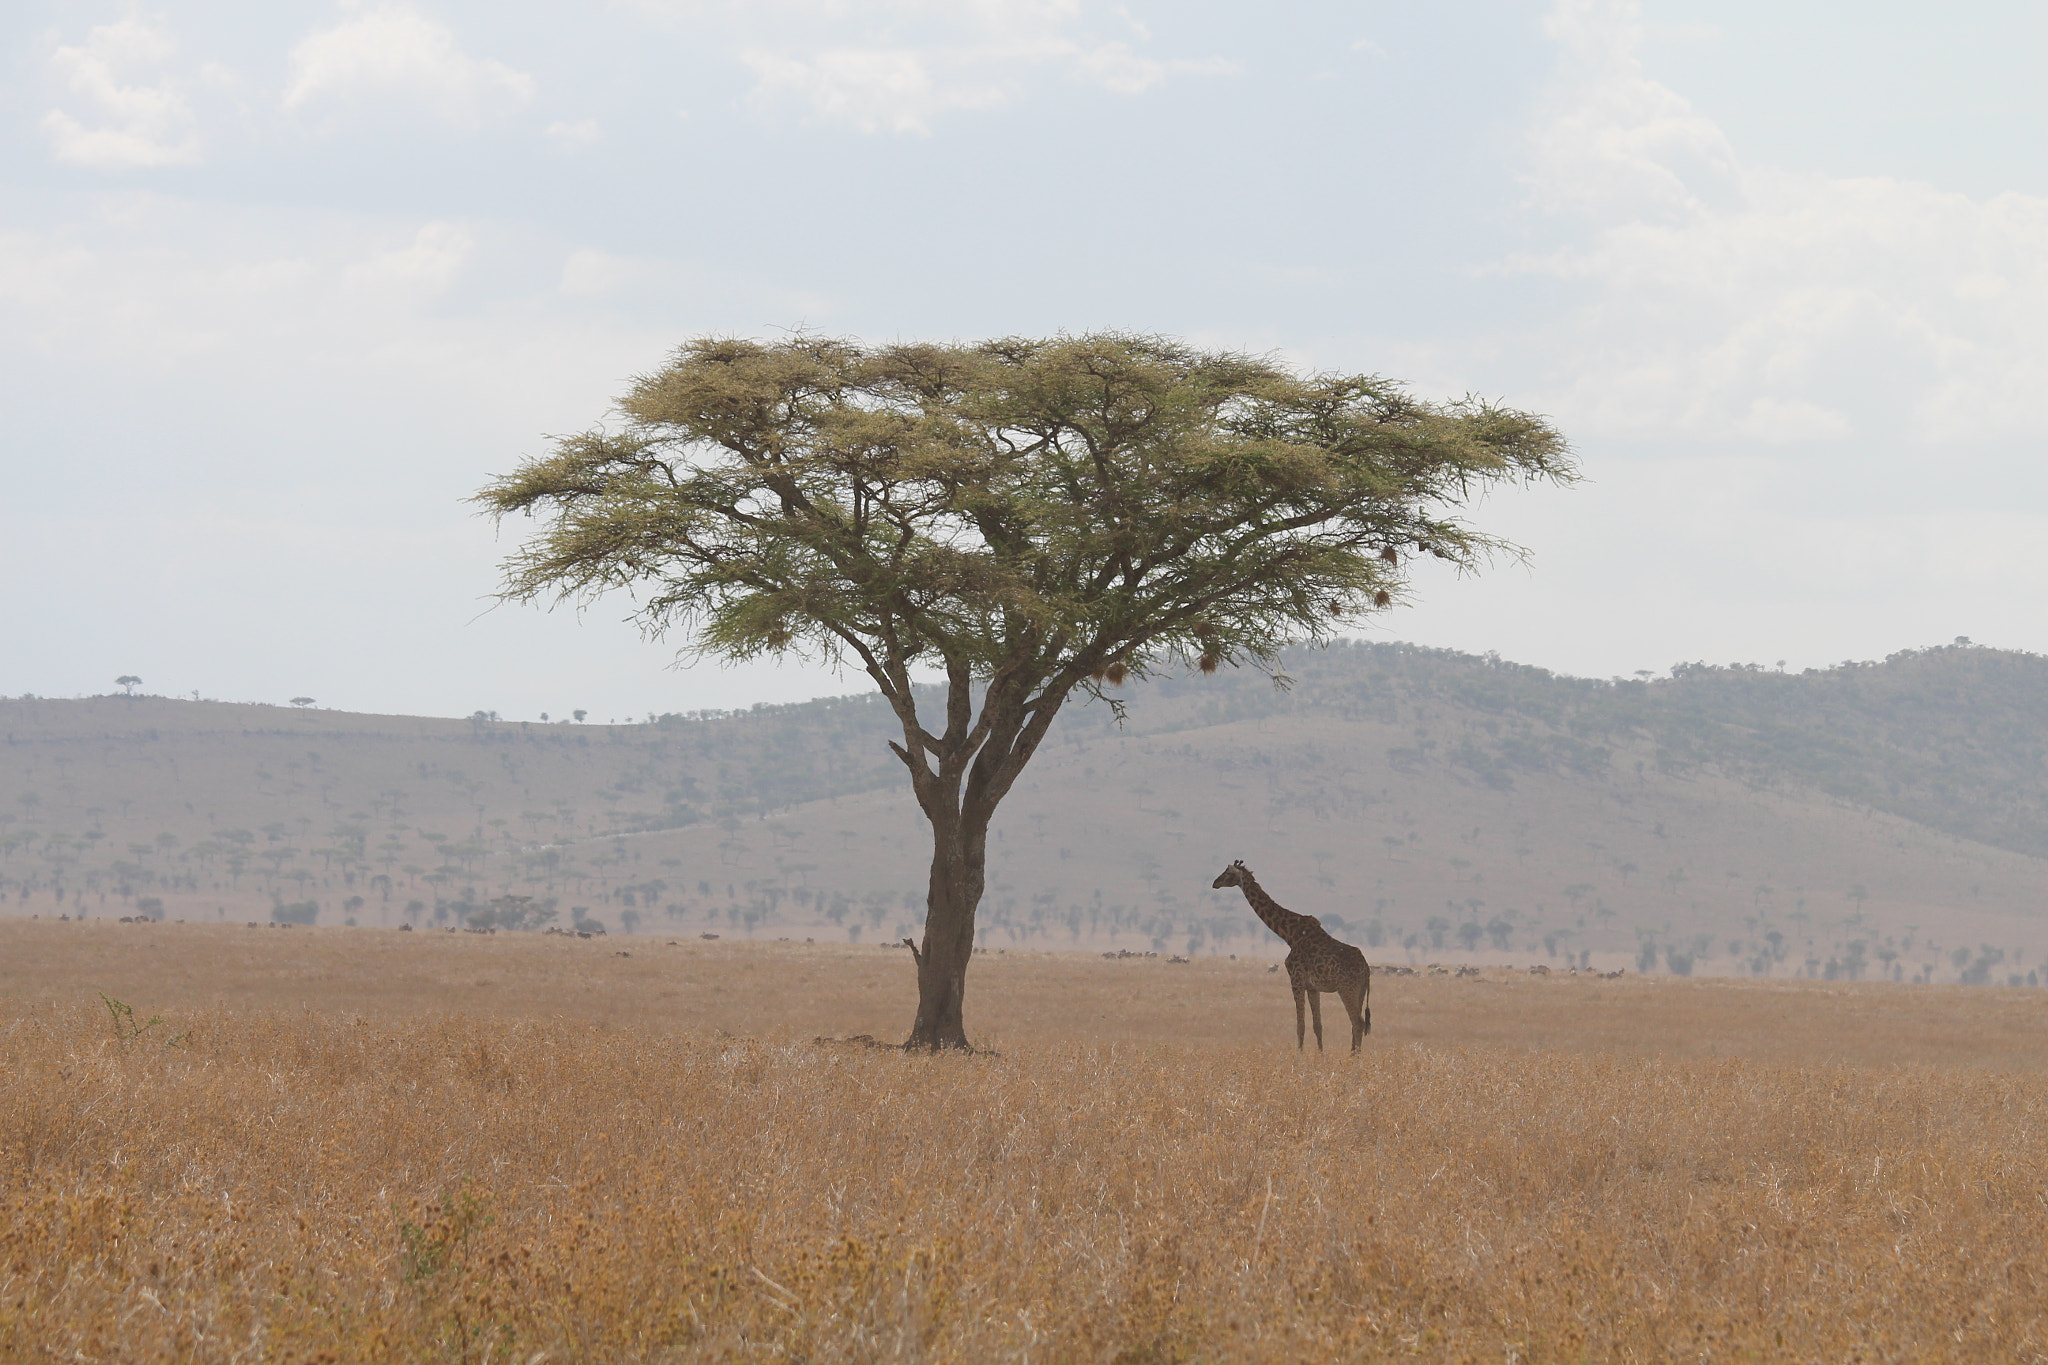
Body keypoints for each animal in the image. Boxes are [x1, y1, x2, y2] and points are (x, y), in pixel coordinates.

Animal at [1212, 863, 1376, 1055]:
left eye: (1228, 873)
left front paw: (1299, 1055)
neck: (1289, 934)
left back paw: (1354, 1058)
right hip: (1360, 991)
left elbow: (1300, 1025)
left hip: (1347, 988)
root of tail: (1366, 969)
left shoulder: (1296, 980)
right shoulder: (1312, 987)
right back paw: (1353, 1054)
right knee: (1356, 1023)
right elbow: (1317, 1025)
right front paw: (1320, 1054)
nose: (1215, 883)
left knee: (1358, 1022)